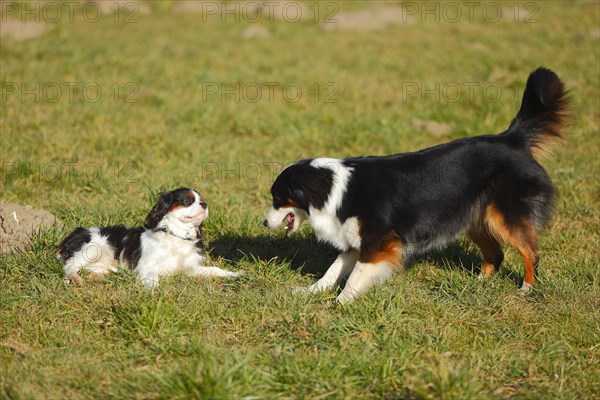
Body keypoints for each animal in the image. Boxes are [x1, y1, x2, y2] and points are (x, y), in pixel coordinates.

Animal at [56, 188, 241, 288]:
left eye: (202, 200)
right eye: (188, 200)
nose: (204, 204)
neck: (177, 235)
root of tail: (76, 232)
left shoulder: (191, 268)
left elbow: (214, 270)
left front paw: (235, 274)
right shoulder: (146, 266)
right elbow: (153, 279)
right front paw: (154, 292)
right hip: (93, 247)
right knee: (70, 266)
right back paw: (76, 279)